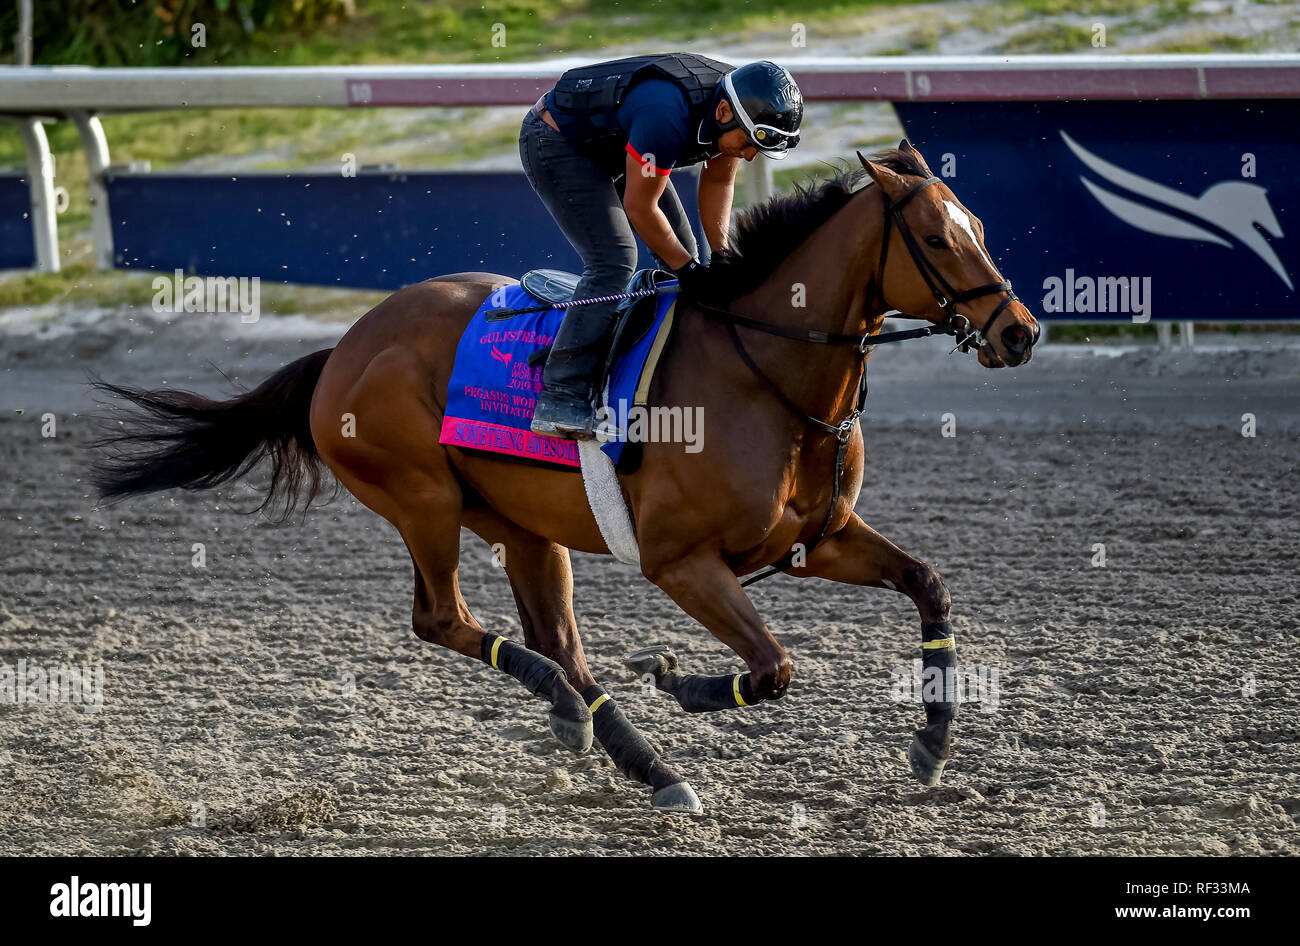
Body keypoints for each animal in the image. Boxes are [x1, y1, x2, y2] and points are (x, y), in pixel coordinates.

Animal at [94, 142, 1034, 810]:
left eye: (984, 228)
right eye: (940, 238)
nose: (1020, 332)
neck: (764, 373)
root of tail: (343, 349)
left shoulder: (818, 540)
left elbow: (929, 583)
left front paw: (933, 744)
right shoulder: (679, 562)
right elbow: (774, 667)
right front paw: (680, 682)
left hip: (520, 525)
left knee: (557, 640)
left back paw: (623, 750)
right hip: (424, 499)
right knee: (446, 620)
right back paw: (607, 732)